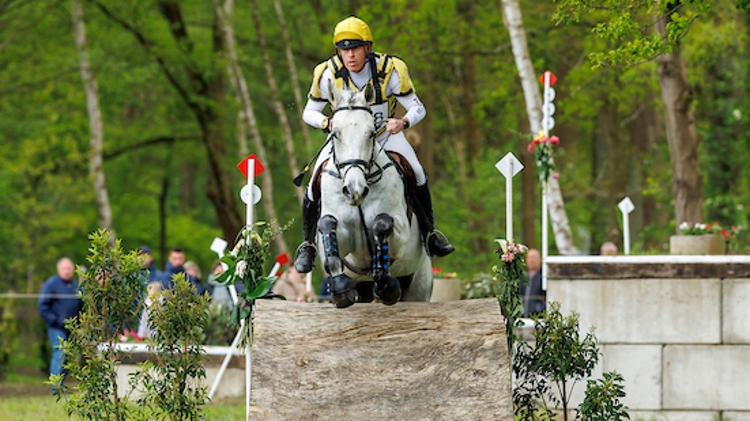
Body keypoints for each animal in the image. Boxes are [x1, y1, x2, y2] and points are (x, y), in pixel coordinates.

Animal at [318, 83, 434, 306]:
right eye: (335, 134)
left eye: (371, 133)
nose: (354, 190)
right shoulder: (344, 239)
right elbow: (327, 226)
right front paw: (340, 289)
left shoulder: (401, 234)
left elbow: (382, 223)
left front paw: (386, 286)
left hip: (419, 287)